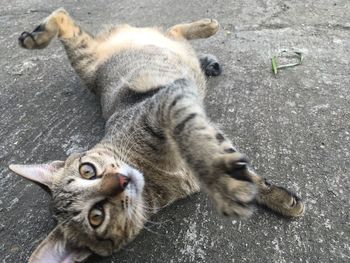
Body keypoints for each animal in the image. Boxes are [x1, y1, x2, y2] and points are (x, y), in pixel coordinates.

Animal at [9, 8, 304, 263]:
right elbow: (237, 167)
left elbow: (202, 146)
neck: (152, 174)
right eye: (96, 216)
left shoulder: (167, 103)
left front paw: (234, 183)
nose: (121, 180)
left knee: (64, 15)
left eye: (88, 171)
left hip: (86, 55)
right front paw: (266, 194)